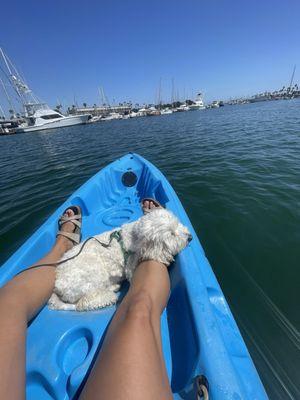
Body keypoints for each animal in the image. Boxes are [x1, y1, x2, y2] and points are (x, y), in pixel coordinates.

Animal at [48, 209, 191, 312]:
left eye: (177, 224)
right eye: (171, 234)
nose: (190, 237)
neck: (133, 238)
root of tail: (57, 286)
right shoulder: (130, 269)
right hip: (94, 271)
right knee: (84, 303)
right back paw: (110, 294)